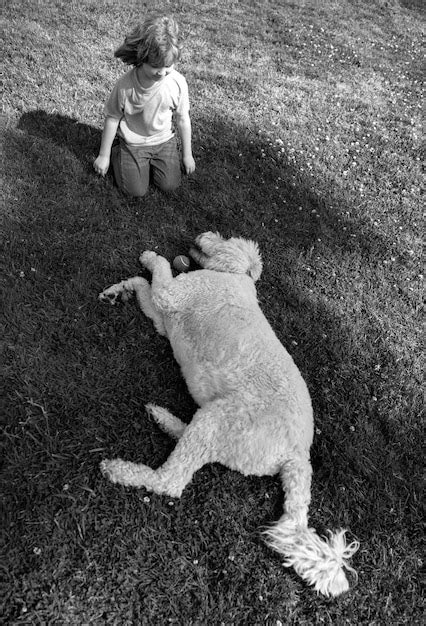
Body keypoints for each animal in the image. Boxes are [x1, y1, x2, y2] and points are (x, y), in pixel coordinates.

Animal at [98, 230, 358, 596]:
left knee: (171, 481)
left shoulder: (170, 295)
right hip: (217, 424)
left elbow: (158, 269)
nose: (201, 234)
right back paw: (165, 420)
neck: (236, 276)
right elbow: (141, 285)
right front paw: (117, 291)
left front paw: (149, 257)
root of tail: (297, 455)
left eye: (222, 237)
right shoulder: (162, 317)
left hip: (221, 419)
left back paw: (121, 469)